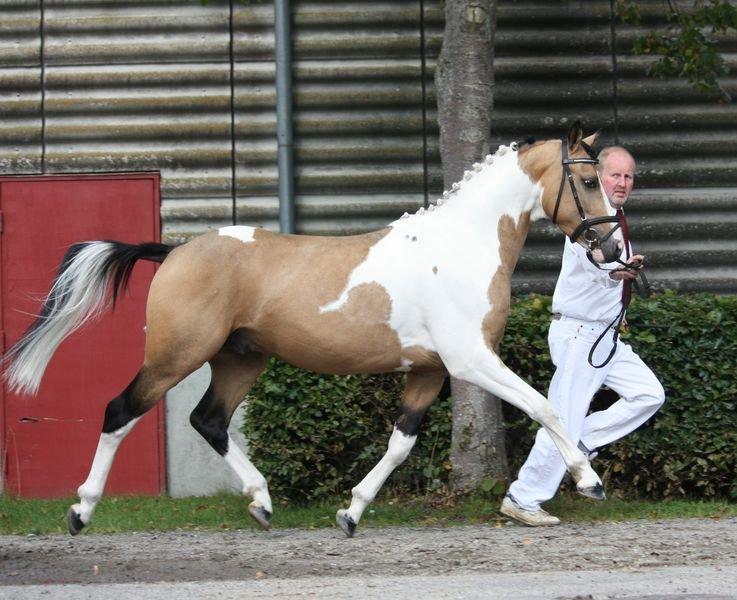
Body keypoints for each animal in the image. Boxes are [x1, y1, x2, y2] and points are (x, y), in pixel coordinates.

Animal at [4, 122, 620, 540]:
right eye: (590, 180)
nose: (612, 249)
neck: (460, 247)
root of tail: (175, 251)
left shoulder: (428, 370)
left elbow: (400, 444)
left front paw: (350, 512)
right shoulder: (471, 360)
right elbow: (544, 406)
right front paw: (589, 481)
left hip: (240, 359)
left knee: (208, 420)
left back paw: (261, 503)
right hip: (176, 355)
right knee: (121, 410)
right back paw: (80, 511)